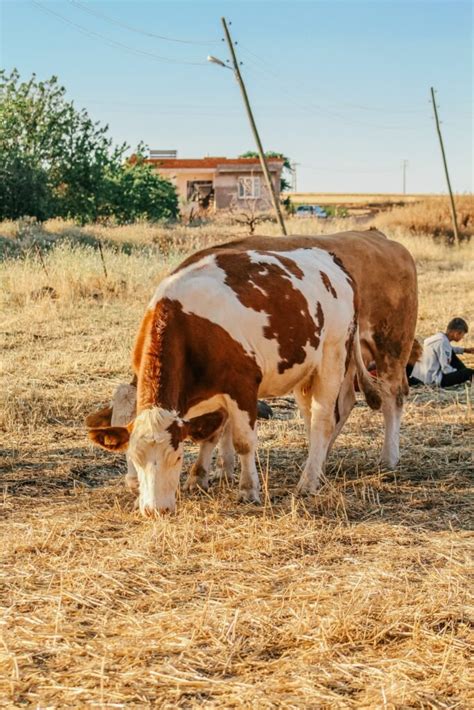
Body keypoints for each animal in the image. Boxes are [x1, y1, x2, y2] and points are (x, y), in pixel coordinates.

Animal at [88, 234, 408, 516]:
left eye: (176, 456)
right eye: (133, 456)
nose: (155, 509)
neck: (188, 322)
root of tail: (331, 258)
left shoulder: (241, 386)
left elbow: (243, 441)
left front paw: (247, 489)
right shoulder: (205, 396)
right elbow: (211, 432)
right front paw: (199, 477)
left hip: (339, 356)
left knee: (327, 419)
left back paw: (311, 481)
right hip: (305, 371)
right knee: (316, 416)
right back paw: (317, 468)